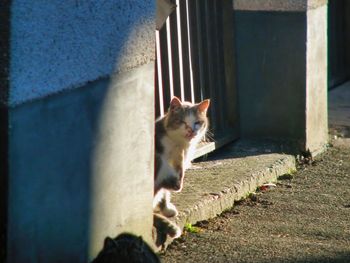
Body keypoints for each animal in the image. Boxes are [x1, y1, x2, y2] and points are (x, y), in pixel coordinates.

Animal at [152, 97, 208, 241]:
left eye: (197, 123)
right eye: (182, 122)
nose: (191, 130)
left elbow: (165, 193)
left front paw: (166, 209)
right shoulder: (162, 161)